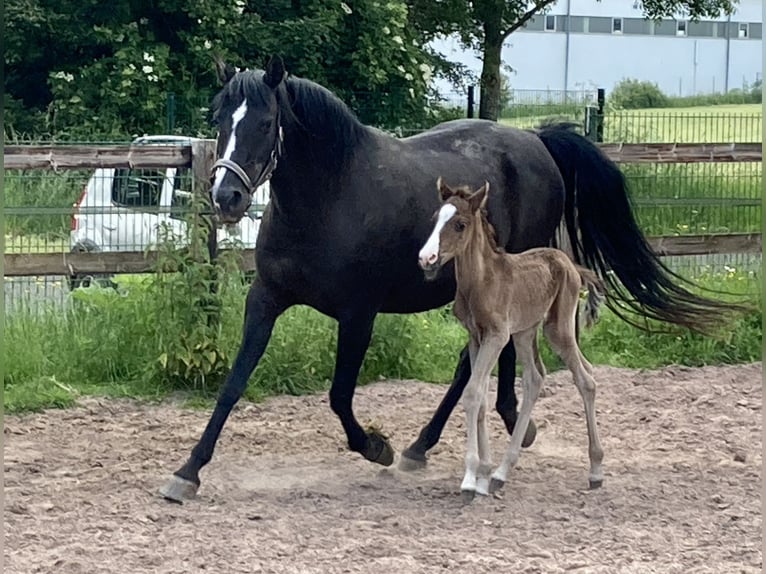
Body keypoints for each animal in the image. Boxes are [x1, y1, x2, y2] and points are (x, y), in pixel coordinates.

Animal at [420, 180, 608, 504]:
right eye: (434, 219)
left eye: (460, 224)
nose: (426, 259)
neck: (481, 282)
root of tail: (569, 263)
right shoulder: (476, 336)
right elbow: (481, 396)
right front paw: (483, 476)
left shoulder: (497, 336)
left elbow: (472, 393)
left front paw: (470, 480)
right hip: (525, 332)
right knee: (537, 378)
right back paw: (500, 474)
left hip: (557, 330)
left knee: (586, 380)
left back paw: (595, 471)